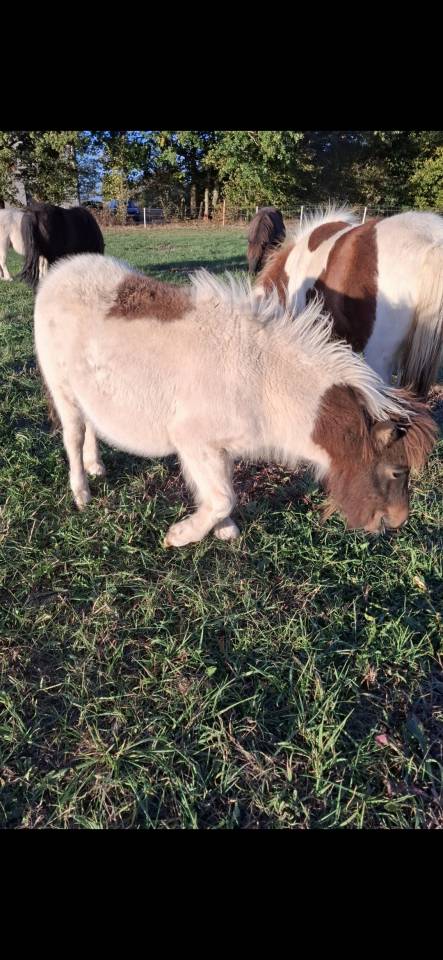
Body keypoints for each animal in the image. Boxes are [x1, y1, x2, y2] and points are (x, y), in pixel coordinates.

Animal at [34, 254, 437, 546]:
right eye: (397, 470)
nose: (396, 522)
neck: (261, 379)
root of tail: (57, 274)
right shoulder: (194, 441)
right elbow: (222, 497)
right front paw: (181, 536)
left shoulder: (216, 448)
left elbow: (220, 491)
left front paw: (223, 530)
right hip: (62, 390)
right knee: (73, 434)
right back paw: (82, 492)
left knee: (90, 426)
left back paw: (96, 466)